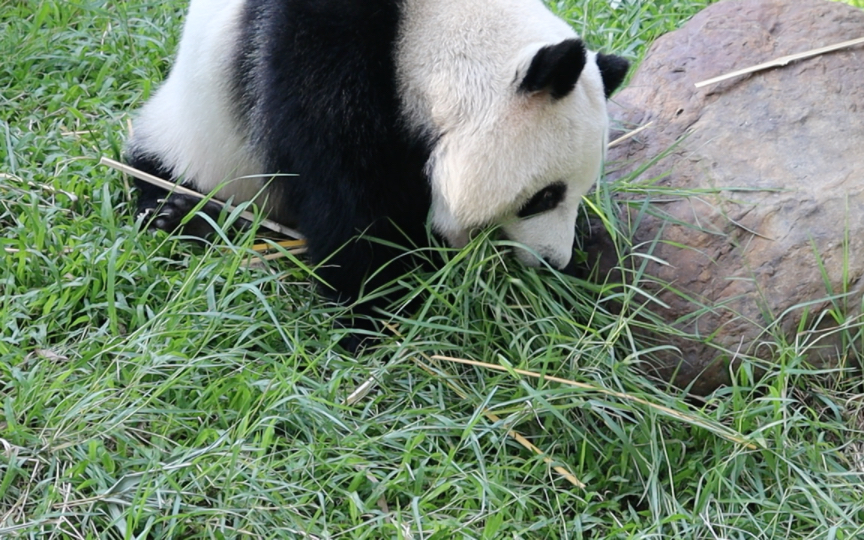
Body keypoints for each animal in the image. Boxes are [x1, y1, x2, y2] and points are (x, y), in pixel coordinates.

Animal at [126, 0, 628, 334]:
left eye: (580, 194)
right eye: (545, 195)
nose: (553, 261)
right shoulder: (320, 50)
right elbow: (344, 191)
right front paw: (370, 306)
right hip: (201, 135)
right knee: (158, 168)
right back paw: (174, 213)